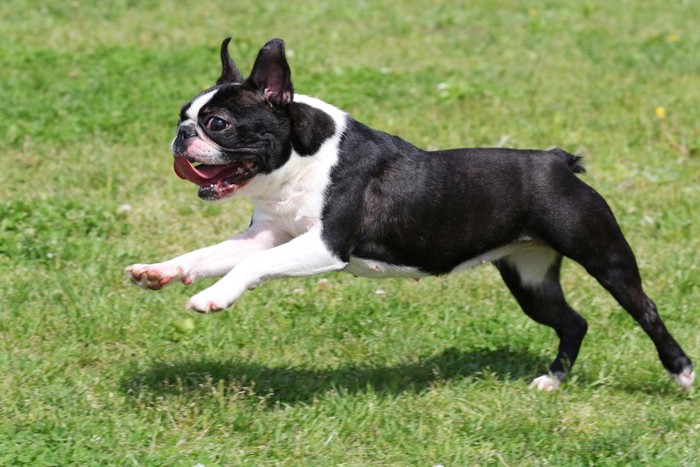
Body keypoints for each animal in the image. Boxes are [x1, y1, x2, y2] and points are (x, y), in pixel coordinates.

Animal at [127, 38, 696, 394]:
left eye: (218, 123)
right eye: (183, 116)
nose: (181, 135)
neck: (303, 158)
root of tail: (557, 161)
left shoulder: (324, 246)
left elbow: (248, 268)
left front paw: (213, 297)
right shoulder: (269, 234)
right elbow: (208, 254)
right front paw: (160, 272)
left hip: (604, 257)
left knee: (646, 311)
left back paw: (681, 373)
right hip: (529, 279)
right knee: (572, 322)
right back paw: (552, 381)